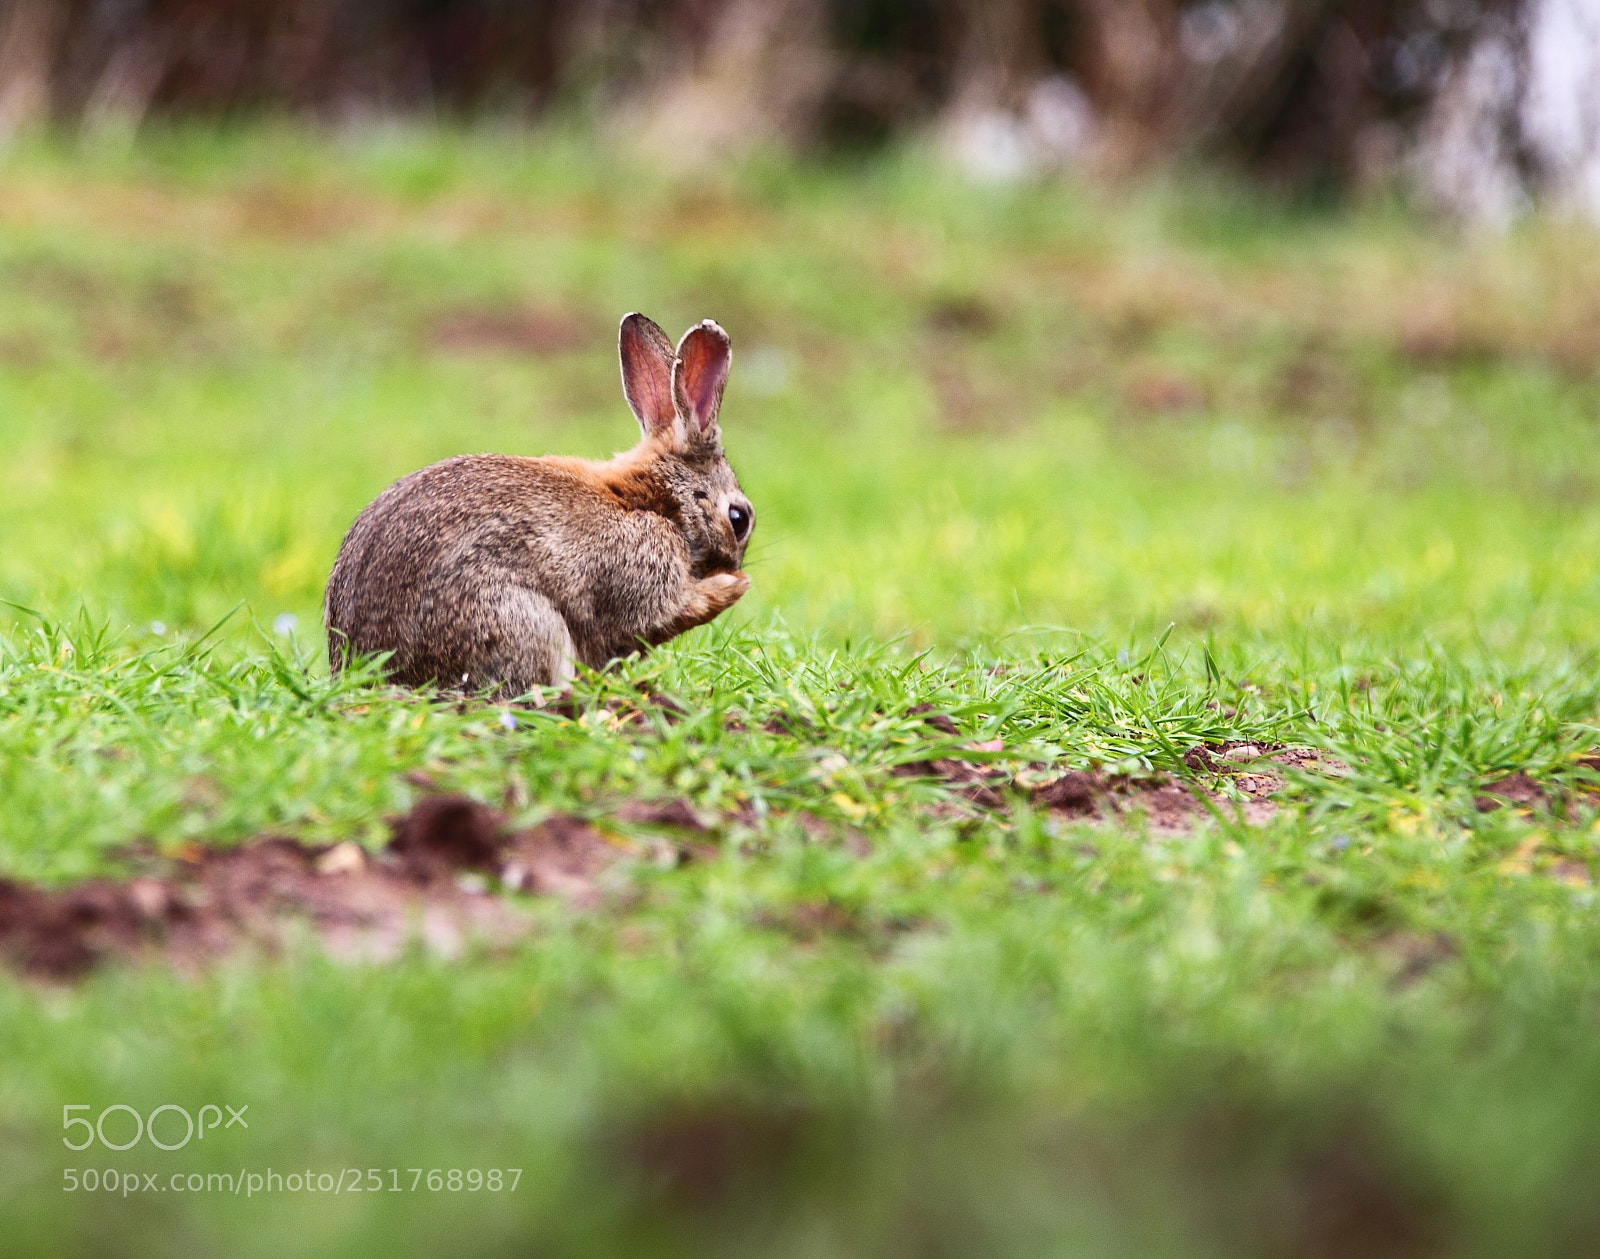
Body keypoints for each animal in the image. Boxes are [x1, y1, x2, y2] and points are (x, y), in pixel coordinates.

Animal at [324, 314, 754, 696]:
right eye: (739, 518)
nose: (736, 566)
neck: (655, 502)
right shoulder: (643, 582)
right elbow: (671, 611)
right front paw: (734, 587)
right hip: (521, 623)